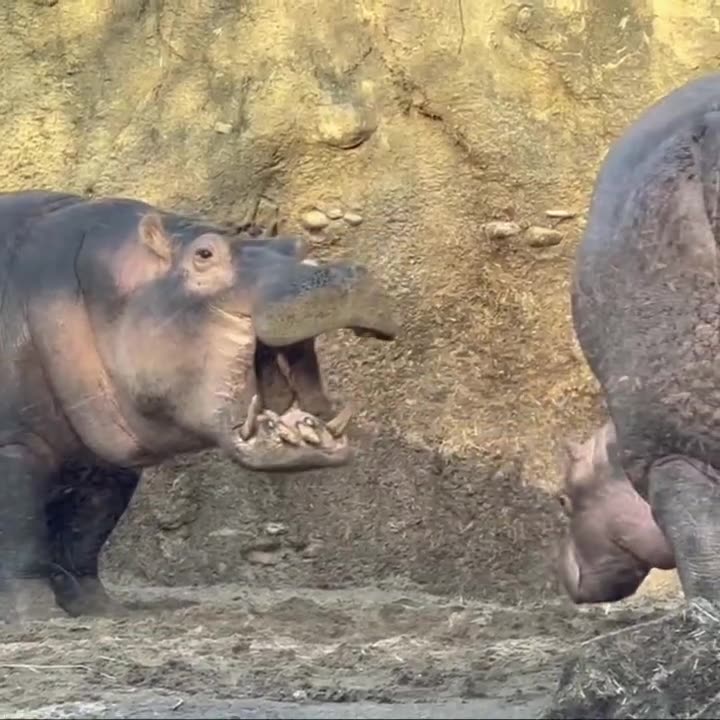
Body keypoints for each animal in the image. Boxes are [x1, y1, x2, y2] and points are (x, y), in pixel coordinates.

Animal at [0, 190, 398, 621]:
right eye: (204, 254)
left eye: (296, 246)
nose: (343, 274)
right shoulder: (15, 445)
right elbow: (22, 530)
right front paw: (34, 613)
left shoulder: (108, 458)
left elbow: (86, 533)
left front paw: (99, 609)